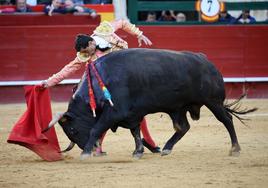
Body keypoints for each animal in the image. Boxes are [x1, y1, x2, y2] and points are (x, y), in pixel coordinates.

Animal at [45, 48, 256, 159]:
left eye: (72, 130)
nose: (93, 149)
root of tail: (206, 61)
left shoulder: (114, 112)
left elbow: (97, 128)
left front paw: (86, 153)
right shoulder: (131, 114)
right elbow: (135, 132)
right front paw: (138, 151)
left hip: (213, 102)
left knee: (226, 120)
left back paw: (235, 148)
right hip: (179, 108)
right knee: (183, 127)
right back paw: (167, 148)